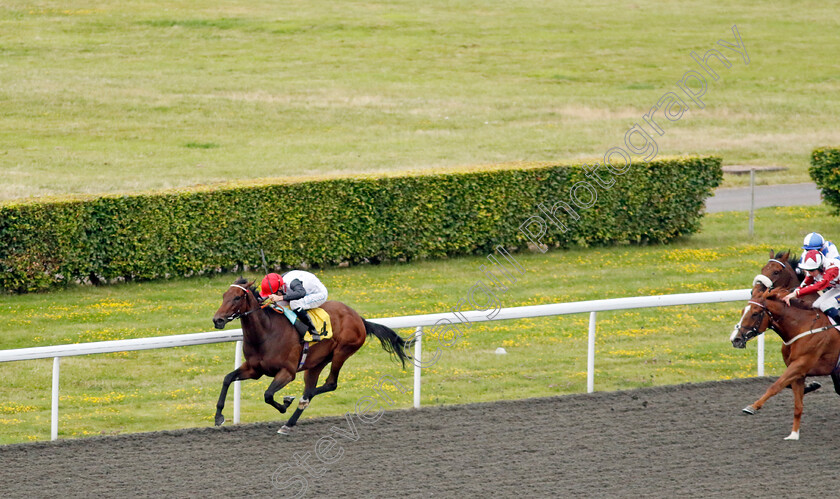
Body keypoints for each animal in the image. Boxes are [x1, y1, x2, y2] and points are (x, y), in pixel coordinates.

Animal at [212, 280, 412, 436]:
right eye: (224, 295)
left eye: (237, 297)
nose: (217, 320)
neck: (267, 332)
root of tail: (359, 318)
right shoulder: (254, 370)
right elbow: (227, 378)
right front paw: (219, 416)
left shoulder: (287, 372)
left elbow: (268, 395)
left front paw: (285, 404)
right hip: (317, 362)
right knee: (313, 387)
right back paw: (290, 421)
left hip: (342, 352)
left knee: (330, 384)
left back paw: (300, 400)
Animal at [728, 290, 840, 442]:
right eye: (742, 311)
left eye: (755, 313)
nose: (736, 339)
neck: (802, 327)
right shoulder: (799, 372)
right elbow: (797, 404)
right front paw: (794, 434)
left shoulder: (800, 364)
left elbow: (775, 386)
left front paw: (753, 406)